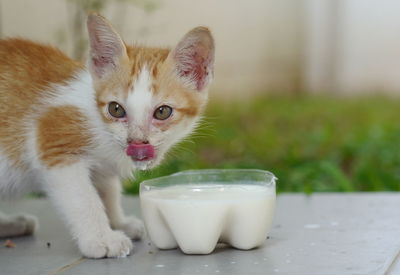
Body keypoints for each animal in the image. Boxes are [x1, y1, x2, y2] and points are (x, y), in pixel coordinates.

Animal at [0, 12, 214, 258]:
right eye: (116, 109)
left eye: (162, 112)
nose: (136, 141)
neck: (98, 120)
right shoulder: (54, 144)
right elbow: (83, 196)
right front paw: (101, 238)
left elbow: (107, 187)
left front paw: (118, 222)